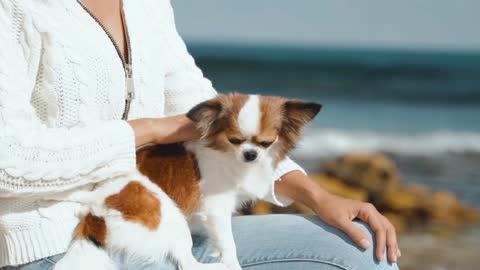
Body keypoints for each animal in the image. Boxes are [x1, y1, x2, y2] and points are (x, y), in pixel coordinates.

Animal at [53, 93, 322, 270]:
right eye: (235, 140)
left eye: (265, 143)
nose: (250, 154)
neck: (227, 155)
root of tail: (95, 219)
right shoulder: (216, 209)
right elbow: (228, 244)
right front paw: (231, 263)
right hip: (172, 218)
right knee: (187, 264)